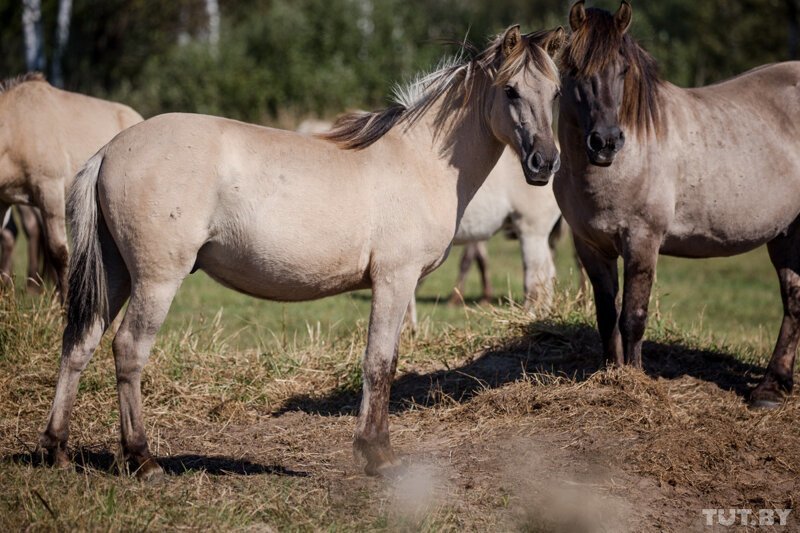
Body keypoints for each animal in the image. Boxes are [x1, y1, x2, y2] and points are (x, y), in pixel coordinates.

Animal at [37, 26, 564, 478]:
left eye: (557, 93)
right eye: (511, 91)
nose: (545, 163)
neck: (419, 161)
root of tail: (110, 149)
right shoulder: (395, 280)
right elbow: (380, 363)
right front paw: (377, 454)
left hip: (115, 274)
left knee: (79, 345)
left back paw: (57, 450)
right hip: (156, 279)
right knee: (128, 350)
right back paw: (142, 459)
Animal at [552, 1, 800, 408]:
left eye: (623, 70)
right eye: (574, 69)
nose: (605, 142)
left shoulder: (642, 240)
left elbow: (633, 317)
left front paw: (635, 382)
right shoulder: (590, 245)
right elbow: (606, 315)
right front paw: (610, 376)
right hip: (785, 233)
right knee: (793, 300)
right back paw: (771, 388)